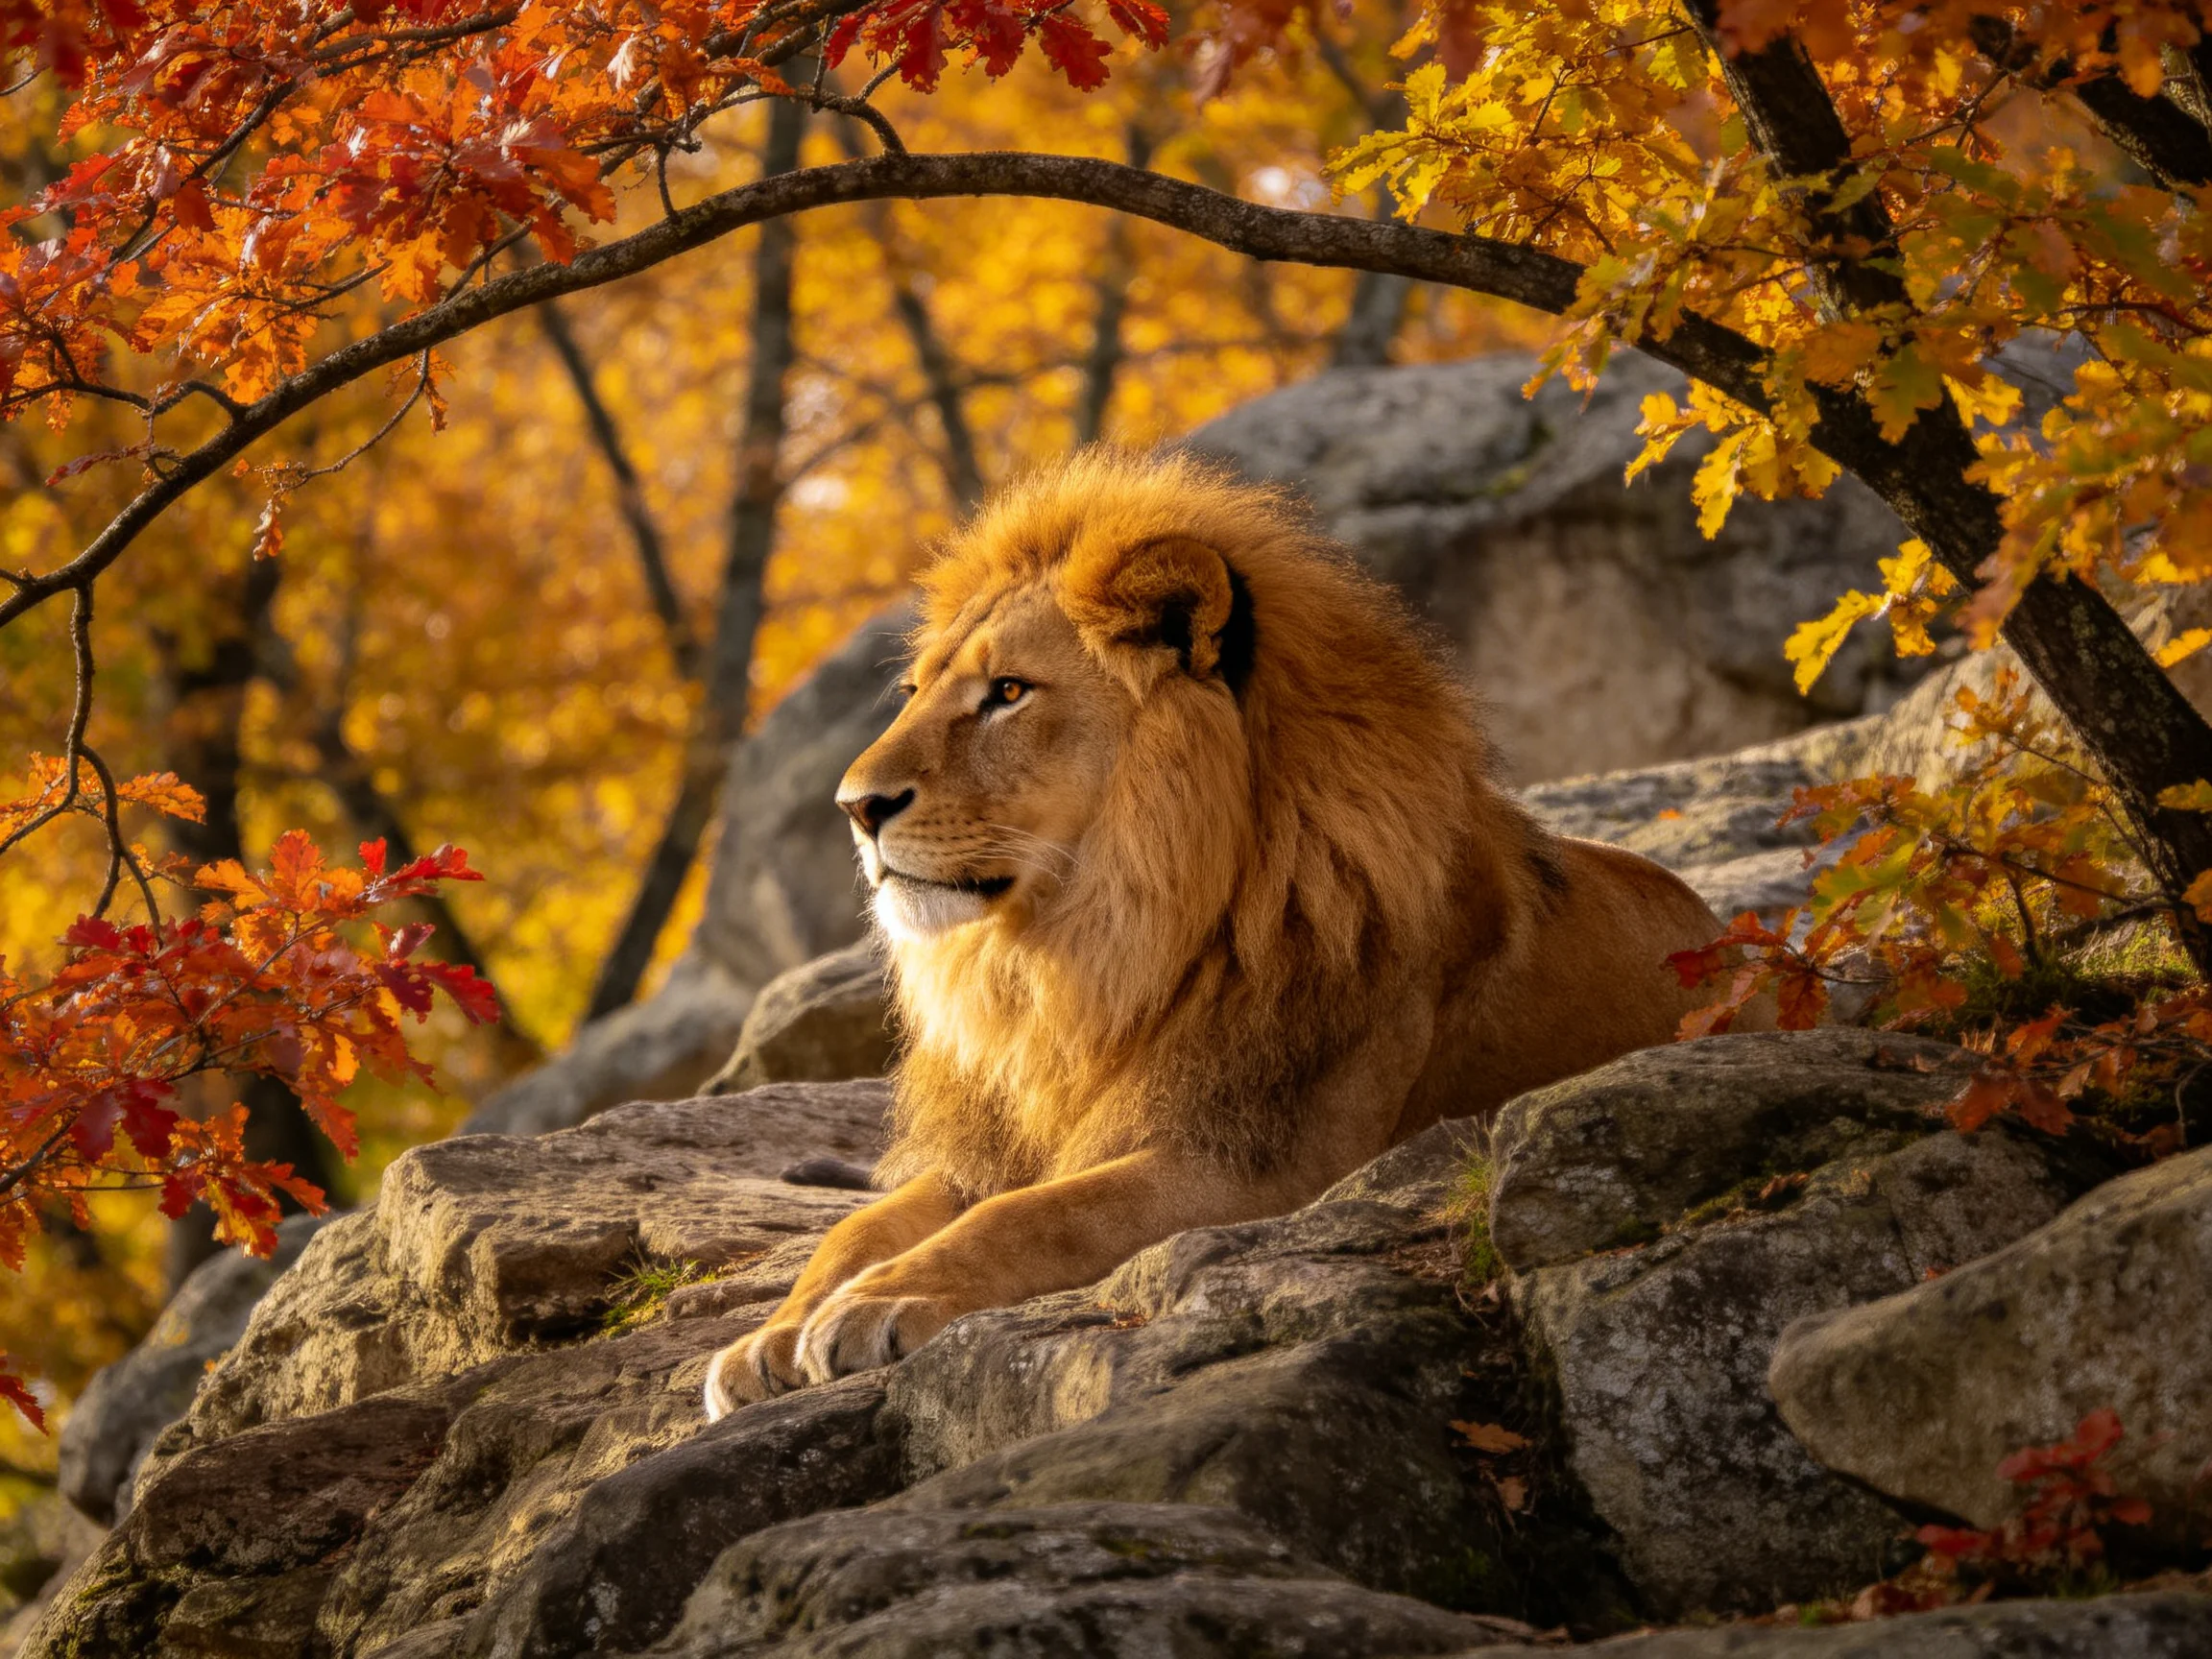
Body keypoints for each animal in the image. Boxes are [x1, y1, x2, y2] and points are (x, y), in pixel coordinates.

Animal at [704, 449, 1725, 1417]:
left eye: (1009, 691)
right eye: (915, 690)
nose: (855, 807)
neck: (1089, 956)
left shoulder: (1270, 1166)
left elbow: (1044, 1214)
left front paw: (877, 1303)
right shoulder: (1004, 1141)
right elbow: (861, 1225)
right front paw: (768, 1338)